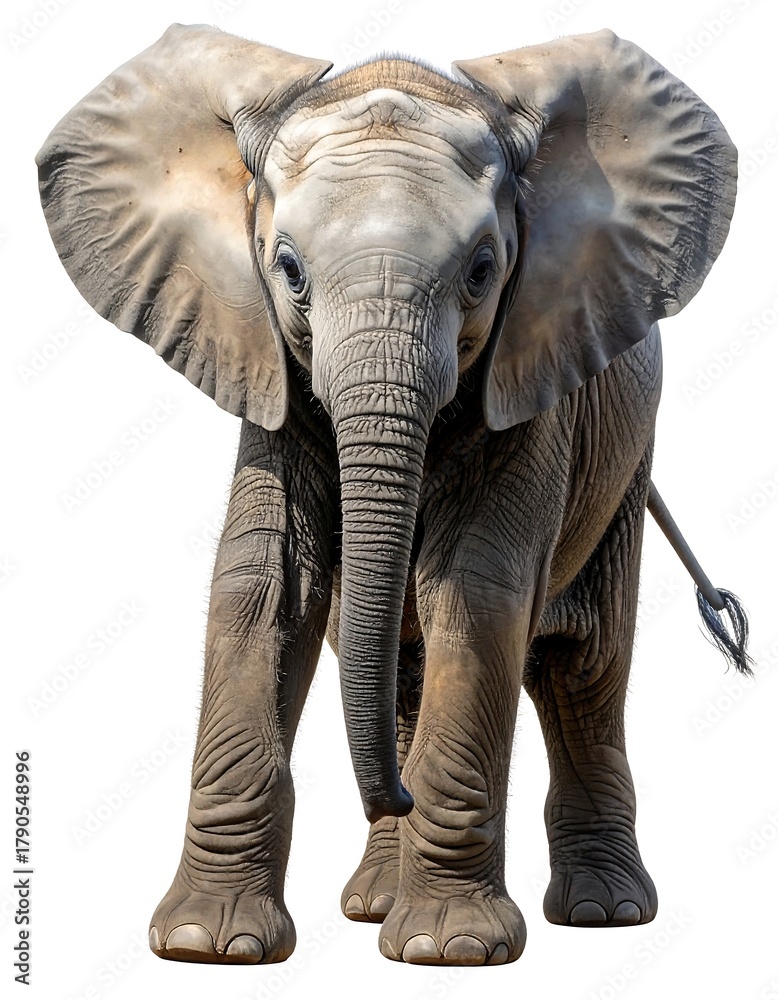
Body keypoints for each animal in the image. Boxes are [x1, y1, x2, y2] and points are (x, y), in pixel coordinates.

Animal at [37, 23, 751, 967]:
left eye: (483, 270)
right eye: (288, 269)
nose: (400, 797)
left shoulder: (534, 376)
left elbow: (477, 592)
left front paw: (450, 950)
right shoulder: (267, 368)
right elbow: (265, 586)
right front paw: (205, 944)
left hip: (626, 462)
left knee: (585, 669)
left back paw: (605, 913)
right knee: (393, 659)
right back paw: (374, 900)